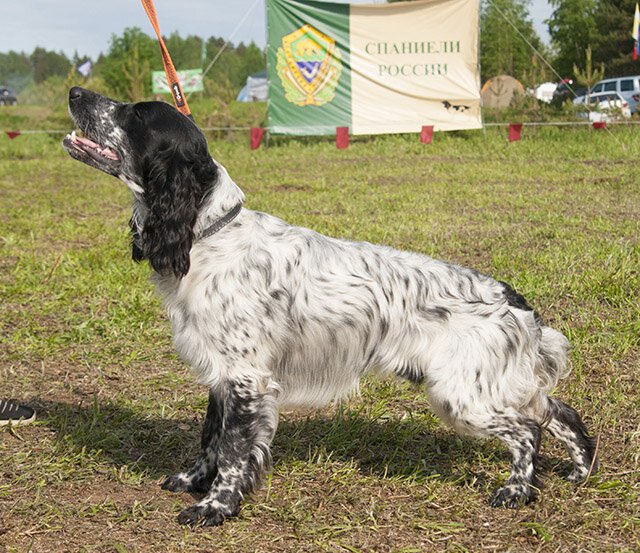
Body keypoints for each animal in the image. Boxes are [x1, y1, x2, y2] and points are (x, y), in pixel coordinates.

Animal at [62, 87, 596, 528]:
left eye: (135, 113)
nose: (75, 91)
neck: (207, 235)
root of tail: (511, 297)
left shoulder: (247, 378)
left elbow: (232, 451)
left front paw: (215, 506)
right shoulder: (223, 375)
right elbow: (210, 438)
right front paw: (194, 482)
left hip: (462, 394)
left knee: (528, 430)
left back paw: (516, 491)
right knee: (556, 411)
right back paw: (580, 471)